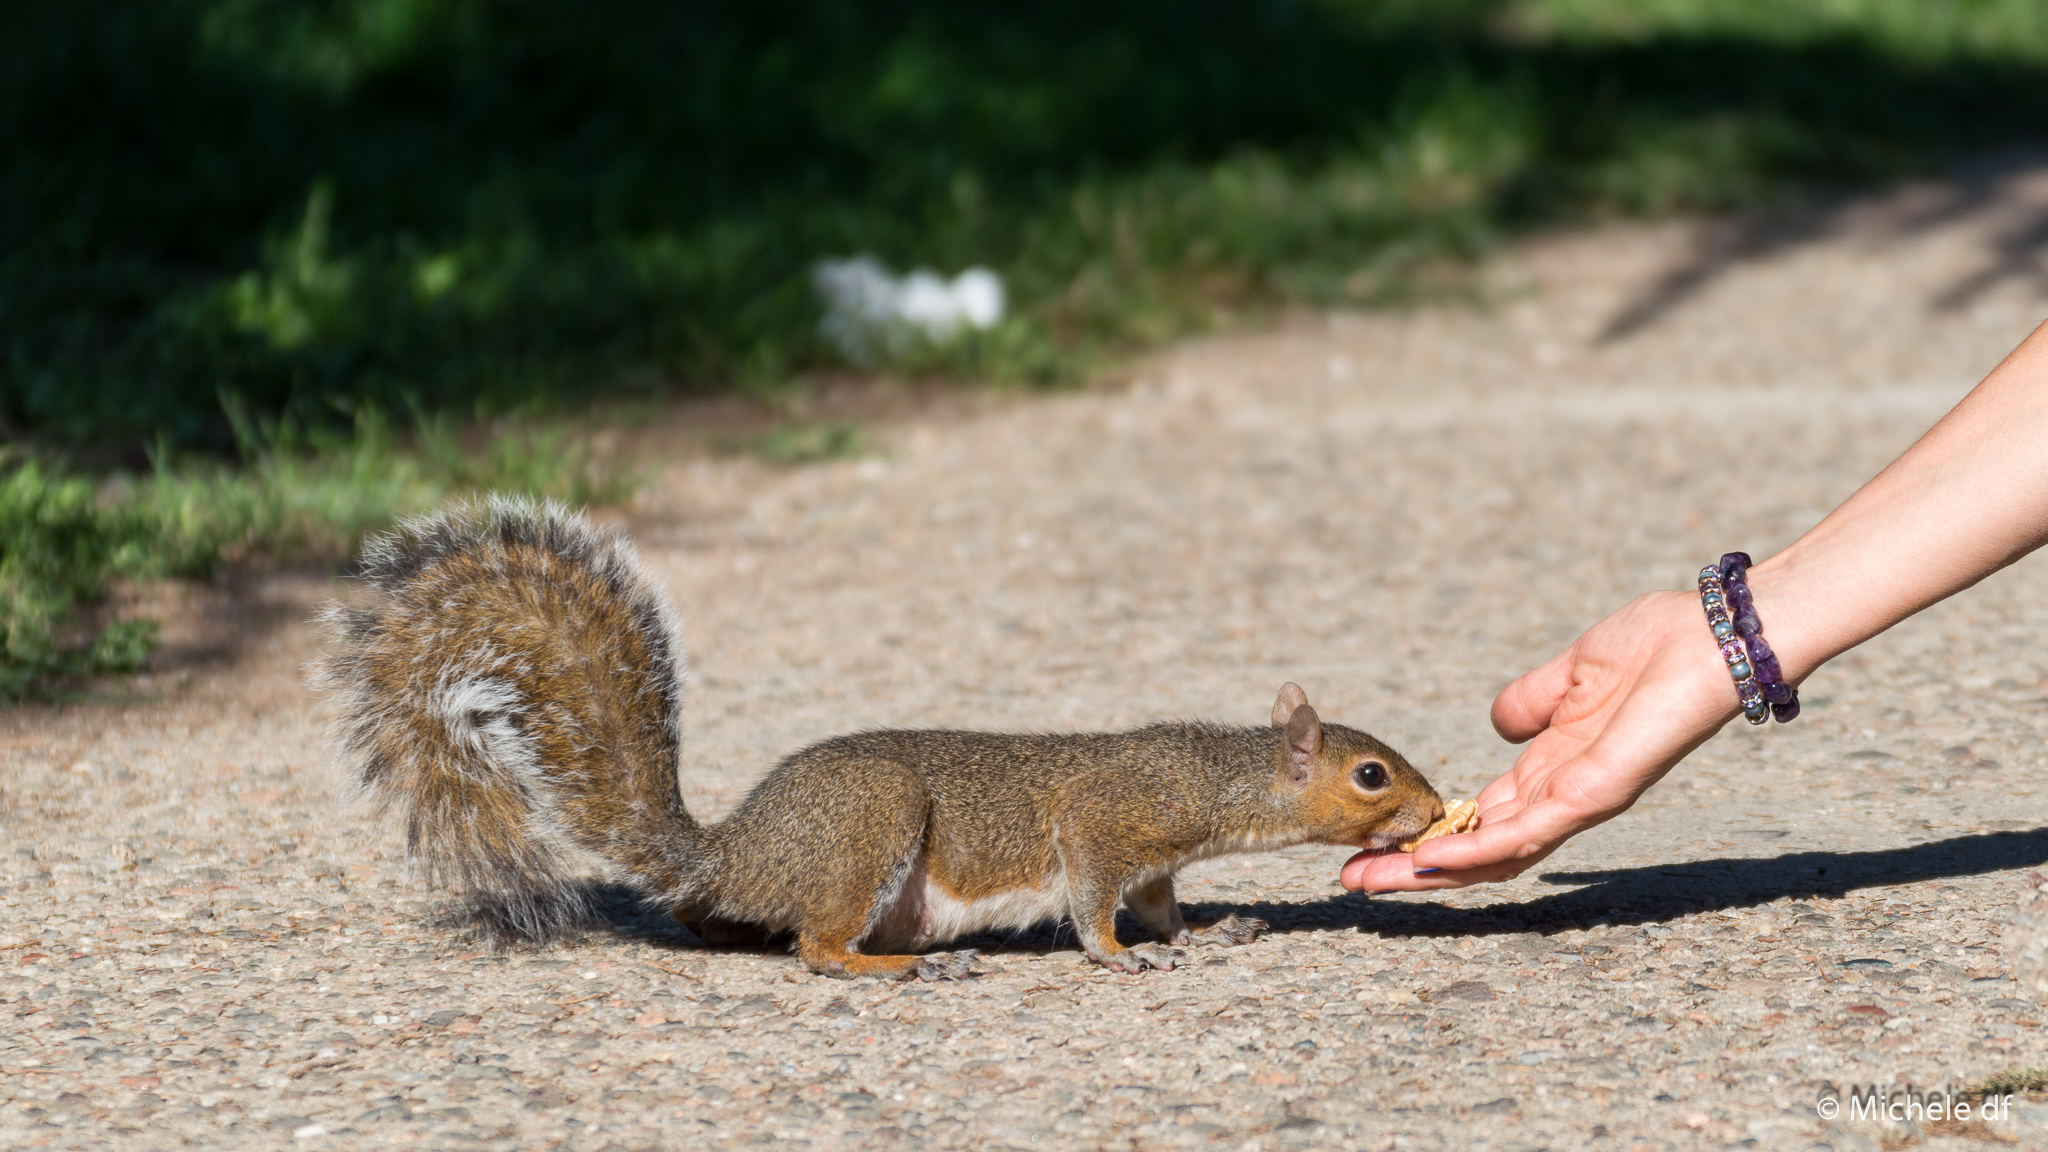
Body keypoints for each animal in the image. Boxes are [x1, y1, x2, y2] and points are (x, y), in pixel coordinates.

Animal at [315, 497, 1447, 979]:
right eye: (1371, 773)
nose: (1437, 811)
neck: (1215, 781)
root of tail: (734, 855)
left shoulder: (1155, 858)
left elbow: (1163, 904)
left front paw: (1203, 935)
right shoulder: (1107, 823)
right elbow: (1093, 899)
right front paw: (1121, 956)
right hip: (871, 824)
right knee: (816, 951)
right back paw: (887, 973)